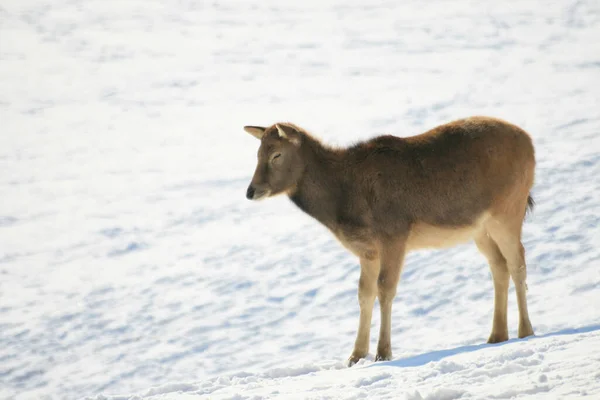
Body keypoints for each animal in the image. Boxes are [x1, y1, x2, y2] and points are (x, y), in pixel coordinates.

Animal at [241, 115, 536, 366]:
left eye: (276, 155)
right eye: (257, 154)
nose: (251, 191)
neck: (343, 204)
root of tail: (530, 143)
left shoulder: (394, 234)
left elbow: (385, 289)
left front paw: (383, 352)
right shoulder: (367, 250)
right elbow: (364, 293)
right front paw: (355, 355)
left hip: (508, 208)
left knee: (518, 261)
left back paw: (525, 330)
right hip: (480, 229)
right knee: (498, 265)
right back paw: (497, 335)